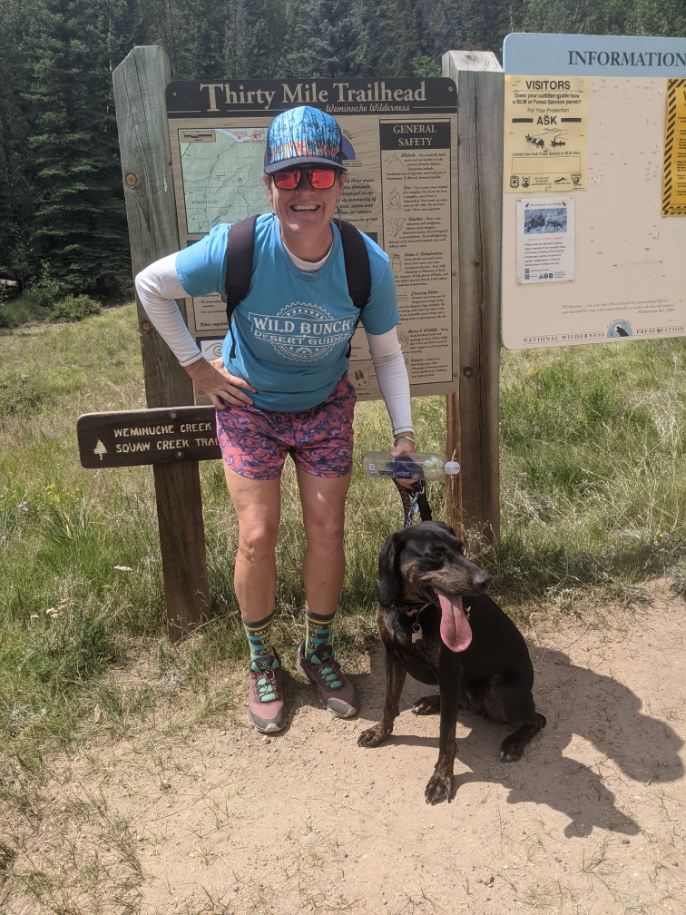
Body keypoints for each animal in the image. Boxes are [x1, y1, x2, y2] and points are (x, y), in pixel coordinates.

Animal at [360, 520, 548, 804]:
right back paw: (429, 702)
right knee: (460, 703)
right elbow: (389, 704)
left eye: (461, 548)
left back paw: (513, 744)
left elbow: (446, 736)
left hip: (499, 689)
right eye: (435, 554)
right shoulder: (392, 657)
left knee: (537, 718)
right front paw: (379, 732)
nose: (485, 580)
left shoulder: (449, 671)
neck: (411, 612)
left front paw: (441, 779)